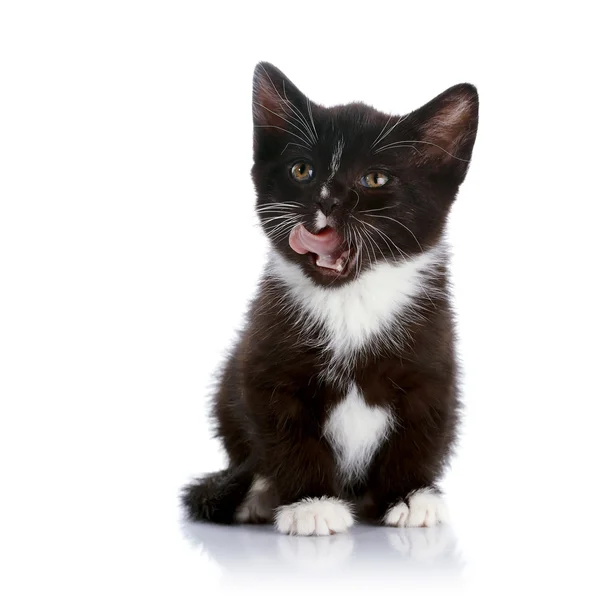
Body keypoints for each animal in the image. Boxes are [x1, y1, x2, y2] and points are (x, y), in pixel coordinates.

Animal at [183, 63, 478, 536]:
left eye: (375, 178)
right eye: (302, 170)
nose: (327, 199)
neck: (350, 299)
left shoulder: (432, 361)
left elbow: (421, 431)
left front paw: (411, 496)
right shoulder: (265, 360)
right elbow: (288, 433)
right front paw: (312, 503)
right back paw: (259, 496)